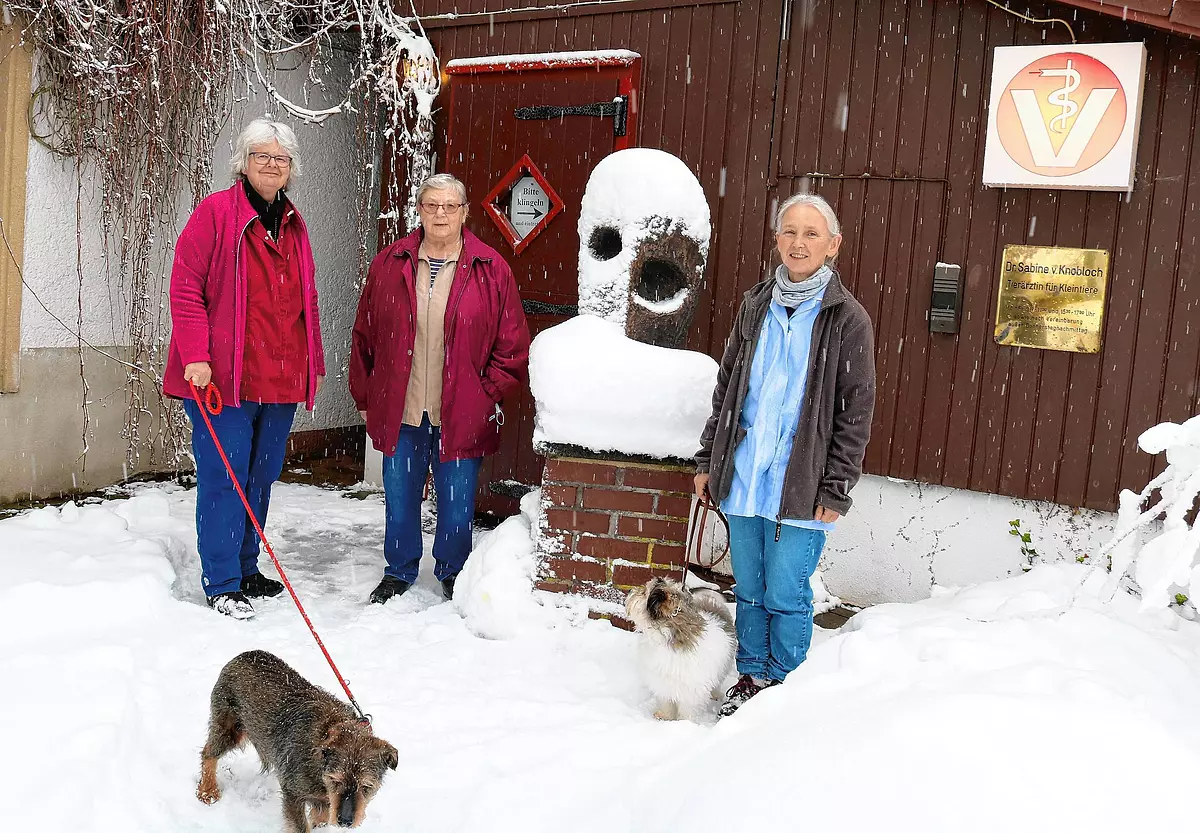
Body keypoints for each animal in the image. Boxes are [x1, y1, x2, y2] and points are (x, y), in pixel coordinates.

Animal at [196, 652, 398, 833]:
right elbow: (300, 826)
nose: (345, 822)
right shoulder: (293, 795)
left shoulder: (325, 799)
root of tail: (242, 655)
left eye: (367, 786)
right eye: (335, 780)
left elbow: (321, 816)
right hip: (229, 729)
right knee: (208, 753)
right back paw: (208, 790)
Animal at [624, 578, 734, 720]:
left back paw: (715, 694)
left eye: (643, 592)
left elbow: (688, 710)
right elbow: (667, 701)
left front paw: (684, 722)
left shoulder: (691, 691)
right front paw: (665, 716)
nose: (629, 591)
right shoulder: (664, 681)